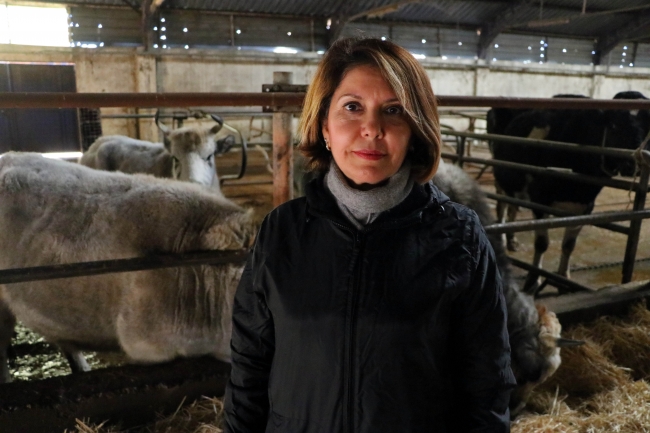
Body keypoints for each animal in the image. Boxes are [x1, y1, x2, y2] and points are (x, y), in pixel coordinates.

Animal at [488, 96, 648, 293]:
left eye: (647, 127)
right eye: (614, 125)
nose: (634, 165)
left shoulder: (585, 206)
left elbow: (569, 245)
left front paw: (564, 279)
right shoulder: (540, 199)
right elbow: (542, 243)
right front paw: (533, 280)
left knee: (513, 207)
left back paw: (512, 240)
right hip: (501, 178)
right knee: (502, 206)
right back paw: (503, 239)